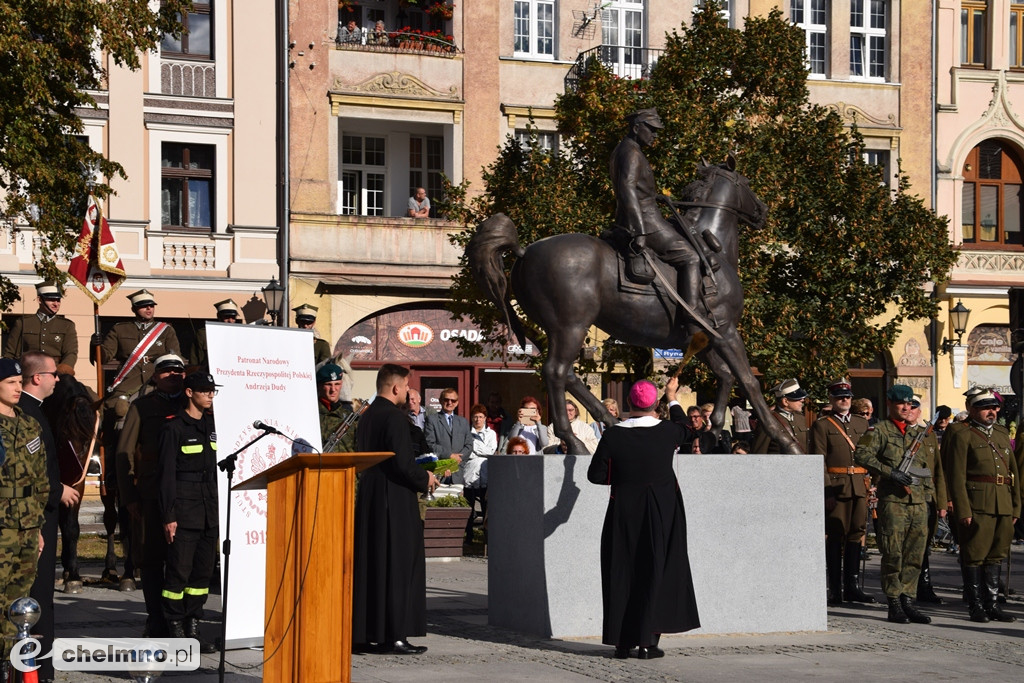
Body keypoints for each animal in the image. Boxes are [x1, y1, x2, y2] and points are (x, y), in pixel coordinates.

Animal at [468, 159, 802, 456]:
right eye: (745, 183)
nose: (763, 211)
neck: (711, 251)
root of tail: (524, 251)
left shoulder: (703, 336)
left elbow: (725, 376)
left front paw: (713, 430)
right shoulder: (727, 331)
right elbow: (748, 381)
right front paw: (786, 441)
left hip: (557, 329)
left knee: (569, 375)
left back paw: (610, 421)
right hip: (570, 326)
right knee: (556, 372)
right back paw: (575, 442)